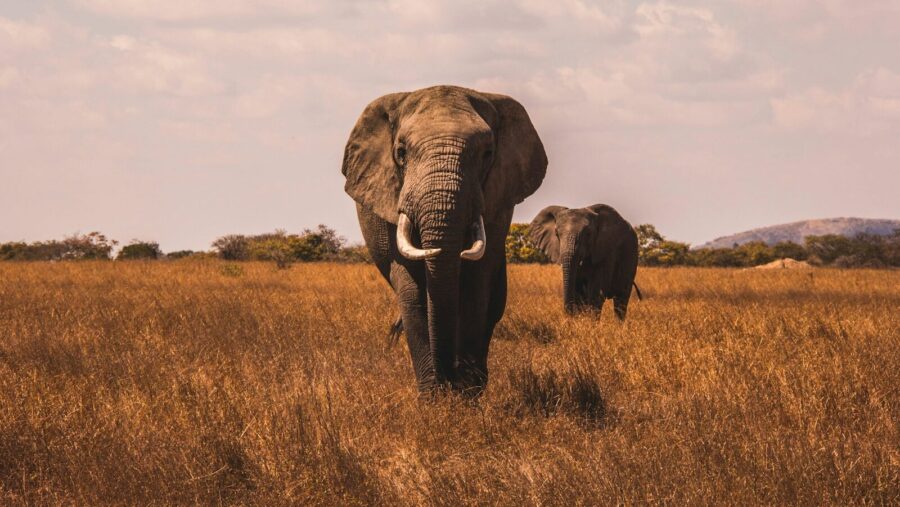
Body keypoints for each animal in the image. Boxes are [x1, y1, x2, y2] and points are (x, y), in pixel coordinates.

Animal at [342, 86, 544, 396]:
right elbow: (412, 288)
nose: (449, 379)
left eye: (487, 153)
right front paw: (434, 397)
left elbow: (476, 284)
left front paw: (466, 394)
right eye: (401, 152)